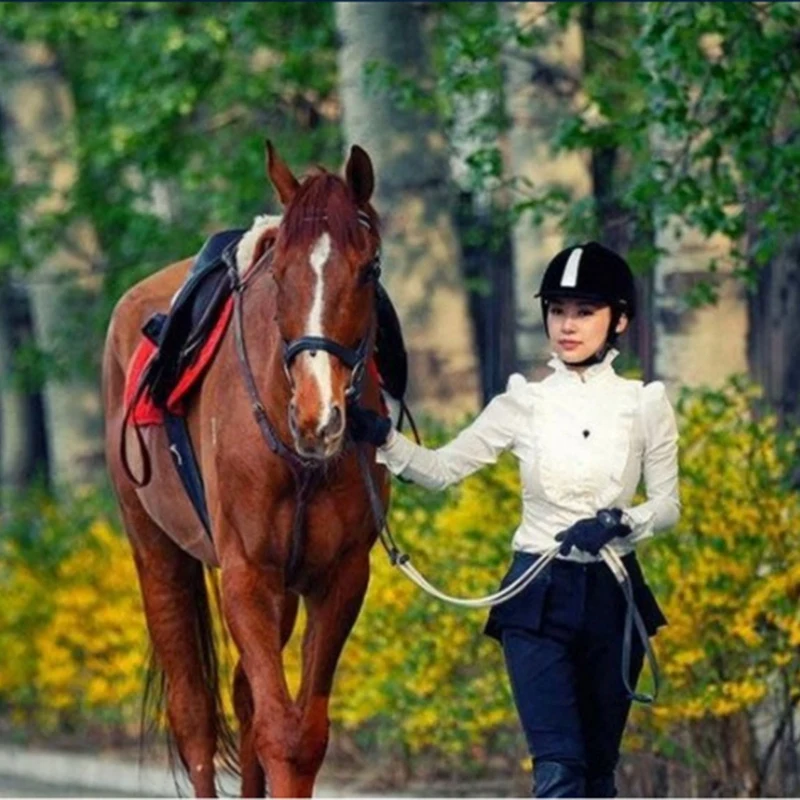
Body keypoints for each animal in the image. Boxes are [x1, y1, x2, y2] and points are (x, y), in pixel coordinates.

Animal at [103, 141, 390, 796]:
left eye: (368, 270)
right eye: (280, 274)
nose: (317, 416)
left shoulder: (339, 577)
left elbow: (299, 733)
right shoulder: (246, 576)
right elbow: (280, 731)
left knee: (243, 698)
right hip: (156, 551)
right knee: (194, 715)